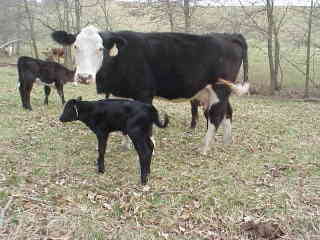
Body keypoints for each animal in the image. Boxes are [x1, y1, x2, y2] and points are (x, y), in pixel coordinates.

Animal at [51, 25, 249, 154]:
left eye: (100, 49)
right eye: (75, 46)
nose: (84, 77)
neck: (120, 58)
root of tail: (230, 35)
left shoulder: (144, 93)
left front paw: (149, 146)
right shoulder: (123, 95)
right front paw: (126, 145)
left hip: (219, 88)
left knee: (216, 115)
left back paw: (204, 148)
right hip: (216, 90)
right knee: (228, 112)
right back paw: (227, 141)